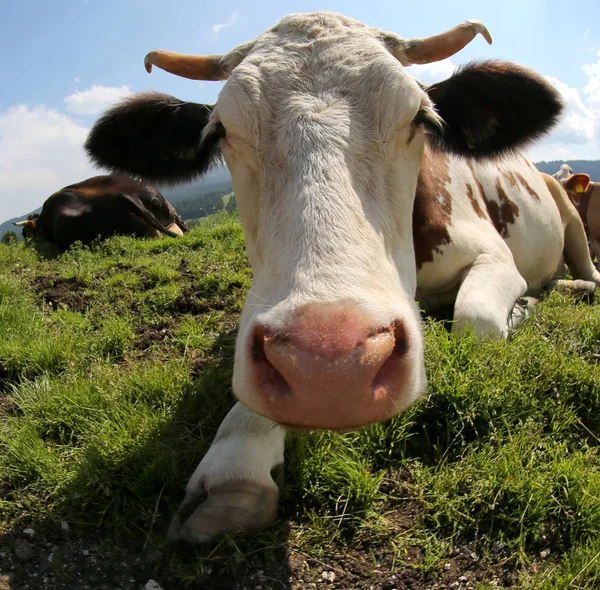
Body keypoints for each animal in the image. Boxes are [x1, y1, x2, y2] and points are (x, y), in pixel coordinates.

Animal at [84, 11, 600, 544]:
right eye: (222, 129)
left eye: (420, 116)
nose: (330, 370)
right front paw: (236, 461)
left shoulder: (495, 257)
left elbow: (475, 320)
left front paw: (521, 309)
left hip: (568, 209)